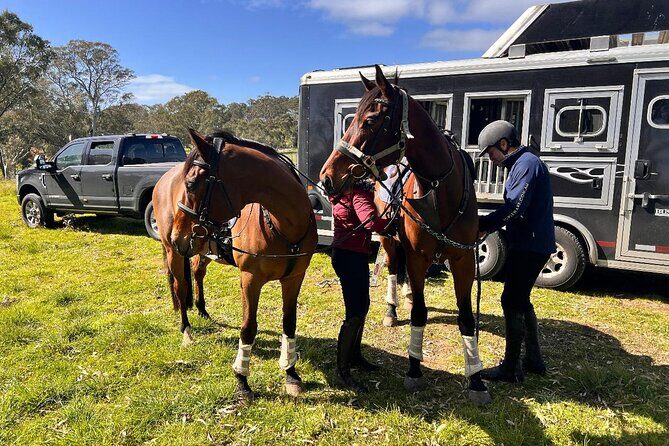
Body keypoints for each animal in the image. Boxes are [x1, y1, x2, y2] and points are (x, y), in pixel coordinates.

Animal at [153, 128, 317, 401]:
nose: (179, 236)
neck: (283, 225)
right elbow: (248, 328)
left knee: (197, 273)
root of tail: (161, 180)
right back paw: (186, 331)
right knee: (180, 287)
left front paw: (291, 373)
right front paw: (242, 380)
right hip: (173, 252)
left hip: (198, 247)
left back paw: (202, 309)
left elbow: (289, 323)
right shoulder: (250, 280)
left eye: (192, 184)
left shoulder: (294, 279)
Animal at [319, 65, 491, 405]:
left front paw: (476, 379)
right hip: (390, 242)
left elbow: (466, 318)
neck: (439, 190)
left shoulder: (464, 260)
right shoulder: (416, 256)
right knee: (393, 273)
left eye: (369, 121)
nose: (328, 176)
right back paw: (392, 309)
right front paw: (414, 368)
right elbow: (420, 314)